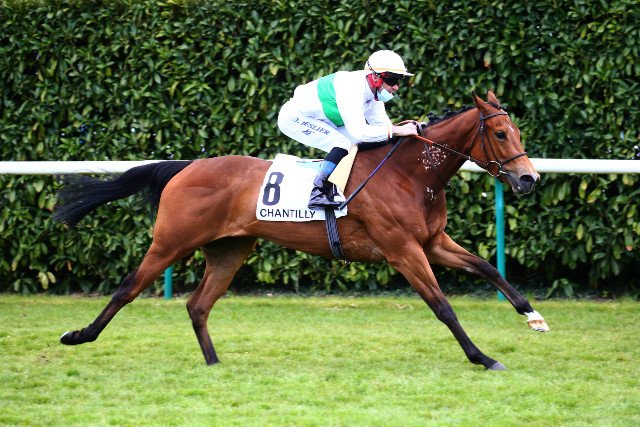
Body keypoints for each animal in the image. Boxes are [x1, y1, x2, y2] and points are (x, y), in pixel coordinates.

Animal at [54, 90, 549, 370]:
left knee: (198, 305)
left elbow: (487, 268)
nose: (528, 179)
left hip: (229, 249)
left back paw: (214, 364)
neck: (411, 173)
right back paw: (77, 335)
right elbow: (443, 307)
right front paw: (483, 357)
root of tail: (187, 166)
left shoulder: (431, 241)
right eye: (500, 134)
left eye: (516, 131)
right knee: (128, 288)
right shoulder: (402, 250)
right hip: (171, 242)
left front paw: (533, 316)